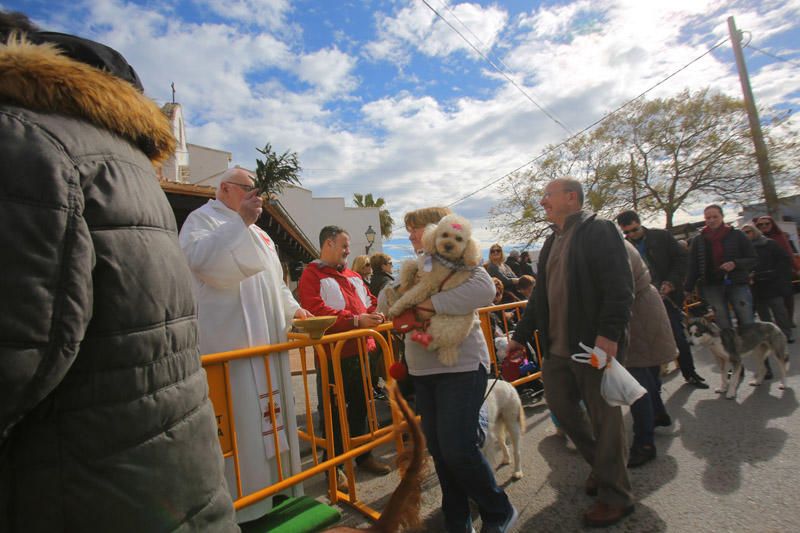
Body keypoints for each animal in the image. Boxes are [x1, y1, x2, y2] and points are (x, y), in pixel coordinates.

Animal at [386, 212, 482, 366]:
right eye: (444, 234)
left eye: (459, 239)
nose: (448, 246)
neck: (446, 260)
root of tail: (450, 347)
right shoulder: (422, 267)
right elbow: (410, 264)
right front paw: (405, 280)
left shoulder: (427, 284)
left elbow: (409, 296)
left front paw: (396, 308)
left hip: (437, 325)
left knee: (427, 341)